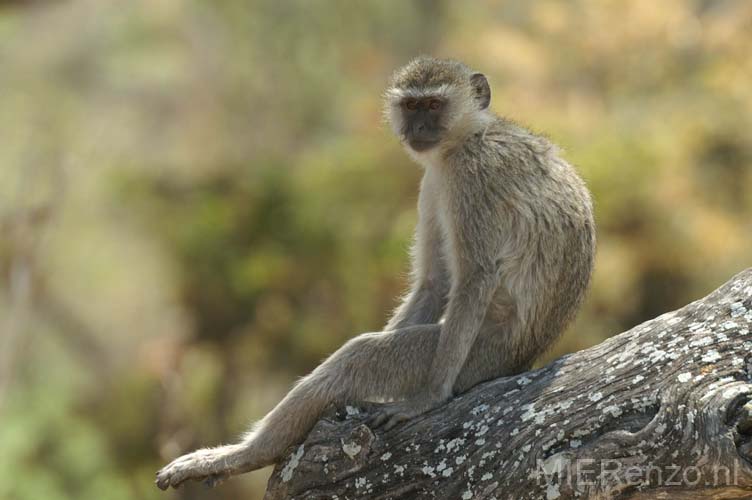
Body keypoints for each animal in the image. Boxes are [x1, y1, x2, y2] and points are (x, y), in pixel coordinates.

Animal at [156, 56, 596, 490]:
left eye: (434, 105)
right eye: (412, 106)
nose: (418, 128)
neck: (466, 138)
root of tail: (523, 357)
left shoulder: (473, 178)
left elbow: (476, 277)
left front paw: (430, 397)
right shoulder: (434, 182)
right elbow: (436, 283)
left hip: (482, 354)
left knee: (360, 357)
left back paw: (248, 455)